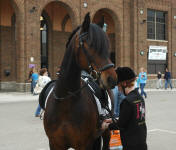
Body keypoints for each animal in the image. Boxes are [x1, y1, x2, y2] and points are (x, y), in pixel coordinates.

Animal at [43, 13, 117, 150]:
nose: (112, 78)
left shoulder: (84, 144)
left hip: (106, 130)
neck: (66, 102)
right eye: (91, 45)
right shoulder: (55, 144)